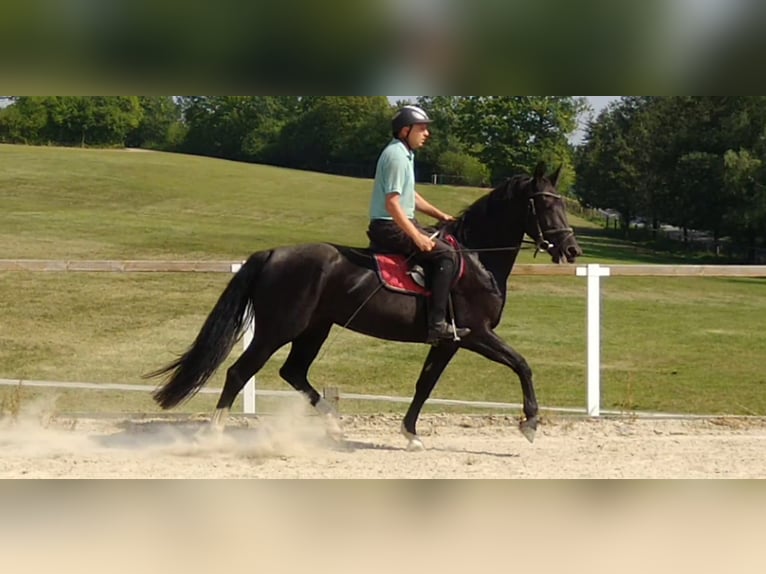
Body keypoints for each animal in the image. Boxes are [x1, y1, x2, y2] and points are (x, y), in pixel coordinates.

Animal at [148, 161, 584, 450]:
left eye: (563, 202)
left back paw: (335, 428)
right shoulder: (476, 334)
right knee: (240, 372)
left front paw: (410, 434)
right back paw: (213, 432)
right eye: (546, 205)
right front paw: (530, 422)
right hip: (278, 329)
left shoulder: (449, 341)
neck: (477, 258)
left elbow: (425, 385)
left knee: (294, 372)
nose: (571, 250)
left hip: (315, 329)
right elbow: (522, 365)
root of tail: (272, 254)